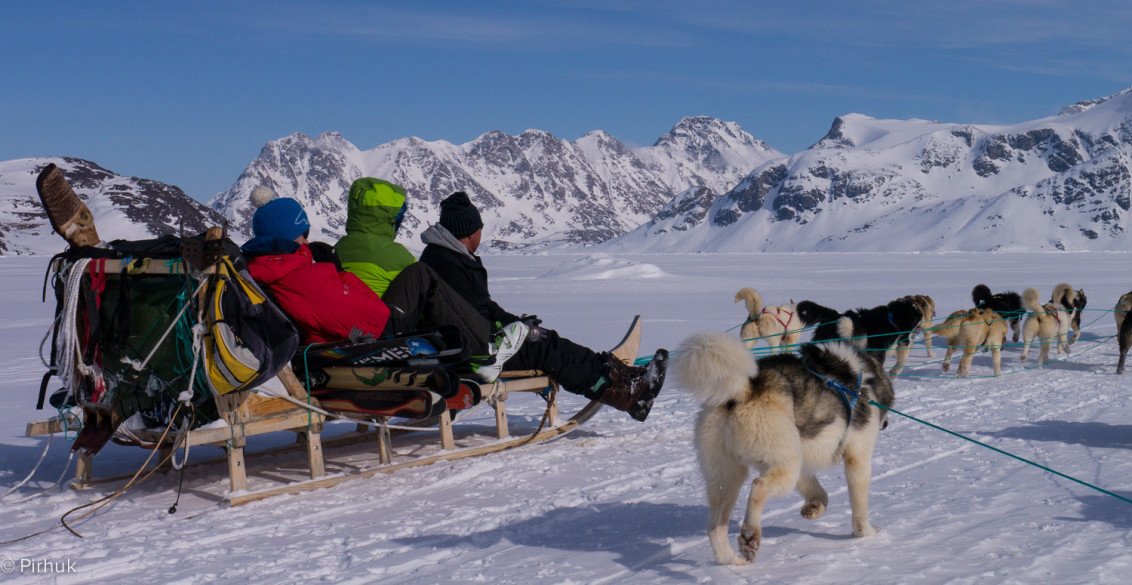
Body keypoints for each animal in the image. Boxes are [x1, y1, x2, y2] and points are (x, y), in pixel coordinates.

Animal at [674, 332, 894, 566]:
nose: (886, 424)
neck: (864, 373)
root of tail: (744, 388)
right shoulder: (857, 458)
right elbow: (859, 505)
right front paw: (866, 533)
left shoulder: (803, 466)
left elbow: (820, 493)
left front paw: (814, 508)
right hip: (785, 468)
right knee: (758, 487)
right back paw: (750, 535)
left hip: (728, 477)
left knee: (716, 527)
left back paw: (732, 559)